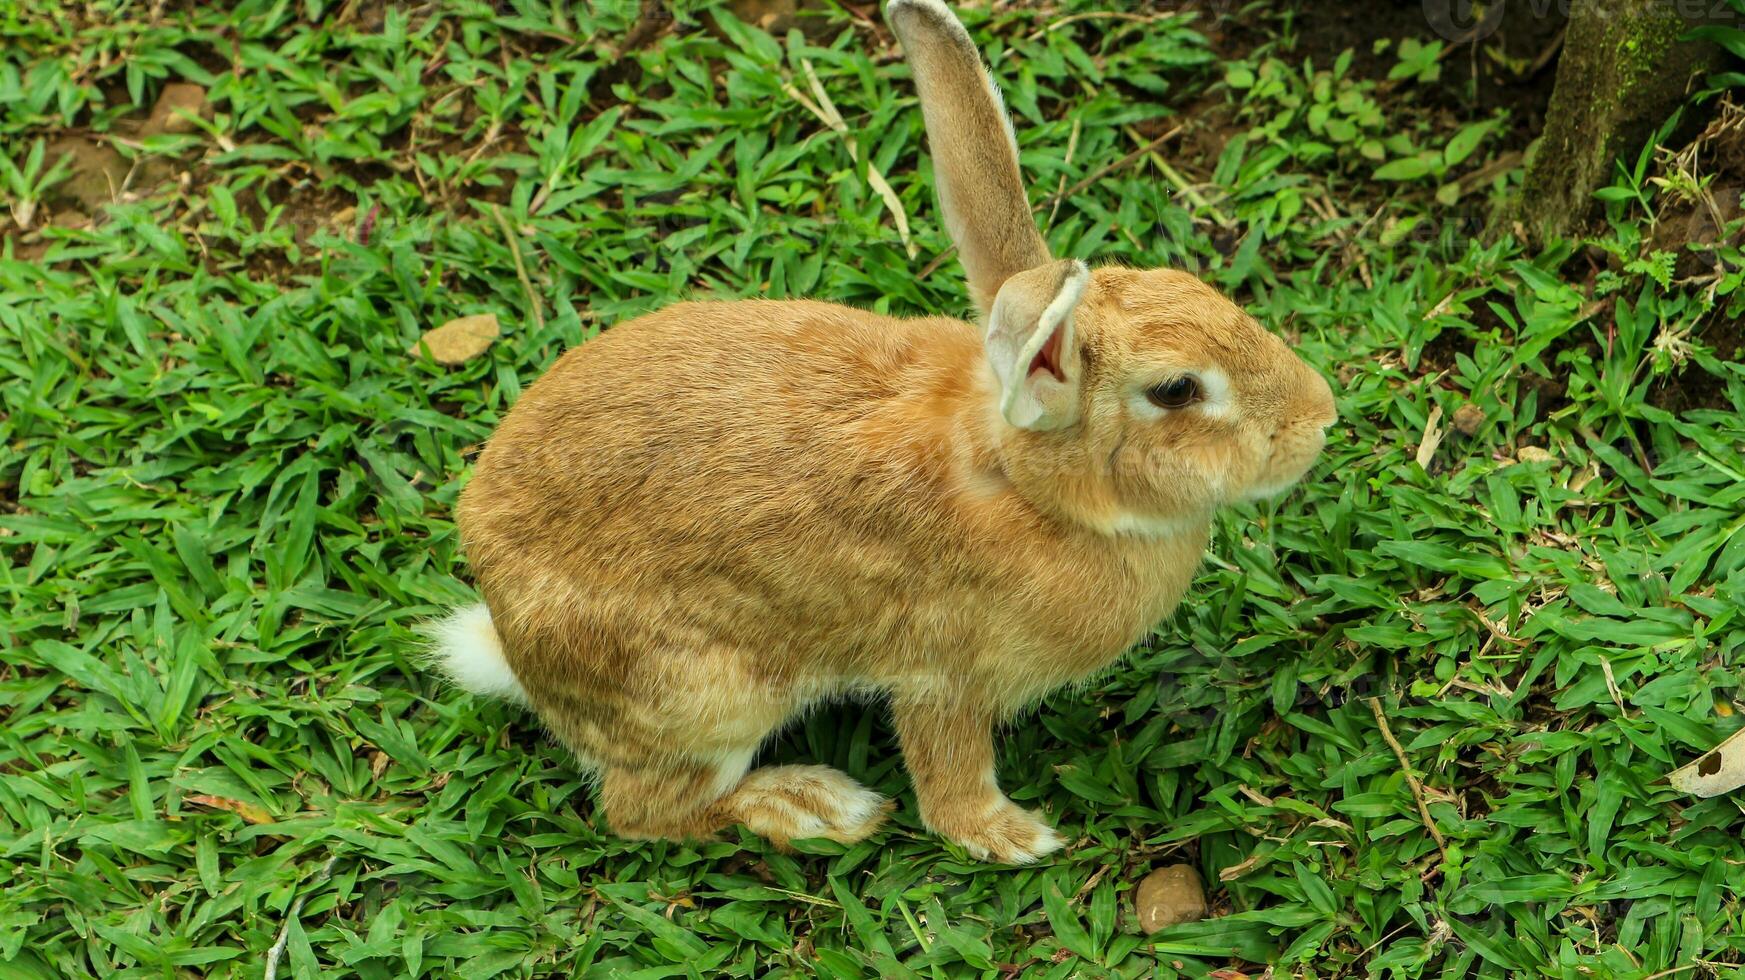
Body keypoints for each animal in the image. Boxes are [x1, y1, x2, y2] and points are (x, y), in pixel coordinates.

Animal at [432, 0, 1333, 857]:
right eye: (1177, 390)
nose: (1319, 419)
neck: (1028, 488)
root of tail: (511, 644)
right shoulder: (944, 675)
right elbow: (946, 768)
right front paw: (1008, 836)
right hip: (710, 694)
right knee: (642, 810)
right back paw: (816, 806)